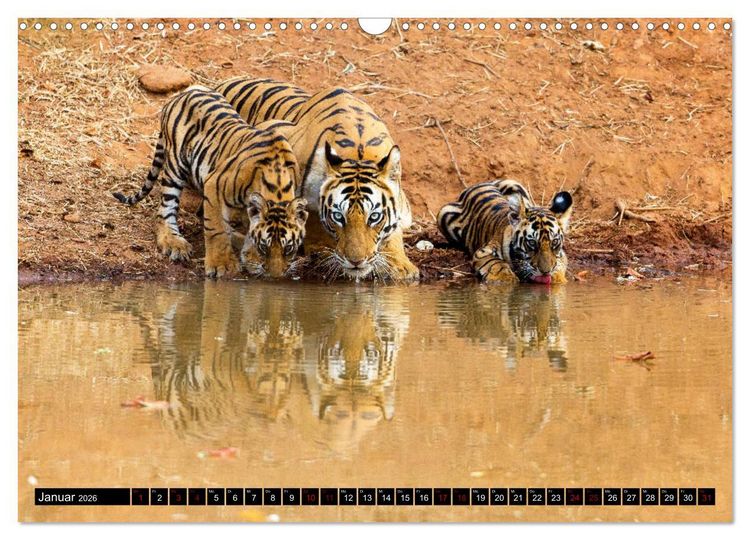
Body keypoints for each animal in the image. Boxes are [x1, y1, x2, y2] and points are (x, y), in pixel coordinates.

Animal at [112, 85, 308, 279]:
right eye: (265, 247)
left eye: (288, 248)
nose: (276, 276)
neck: (277, 187)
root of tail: (184, 92)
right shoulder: (214, 185)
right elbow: (216, 229)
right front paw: (222, 265)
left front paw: (250, 259)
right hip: (175, 165)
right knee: (164, 211)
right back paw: (174, 242)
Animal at [214, 77, 419, 281]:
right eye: (338, 217)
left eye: (374, 217)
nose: (356, 262)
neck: (358, 151)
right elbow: (311, 218)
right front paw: (319, 250)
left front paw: (401, 265)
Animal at [437, 179, 573, 284]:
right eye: (532, 243)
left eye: (554, 242)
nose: (546, 272)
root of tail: (483, 183)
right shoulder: (483, 252)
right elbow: (496, 264)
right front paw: (506, 279)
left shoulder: (562, 255)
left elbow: (559, 263)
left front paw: (557, 278)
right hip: (443, 214)